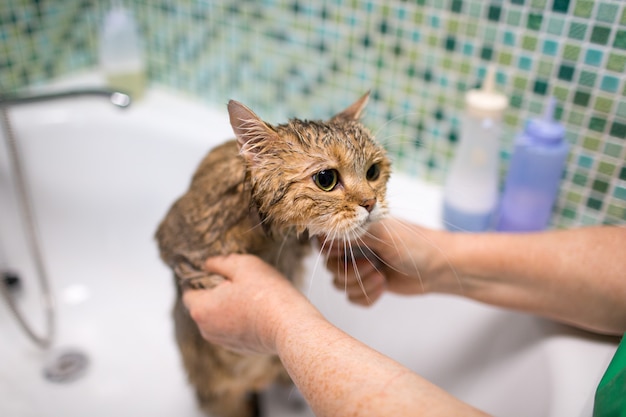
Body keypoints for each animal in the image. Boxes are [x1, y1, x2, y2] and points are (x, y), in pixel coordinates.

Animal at [155, 92, 390, 416]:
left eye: (373, 172)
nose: (370, 202)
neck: (269, 236)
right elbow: (189, 269)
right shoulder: (172, 240)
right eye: (326, 179)